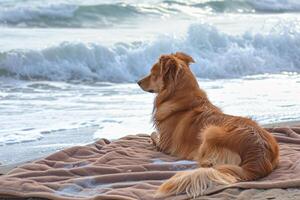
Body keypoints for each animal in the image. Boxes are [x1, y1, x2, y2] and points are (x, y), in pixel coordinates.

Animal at [138, 52, 278, 198]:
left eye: (152, 73)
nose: (138, 82)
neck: (180, 97)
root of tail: (258, 155)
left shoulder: (164, 144)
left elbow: (153, 134)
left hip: (210, 132)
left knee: (206, 162)